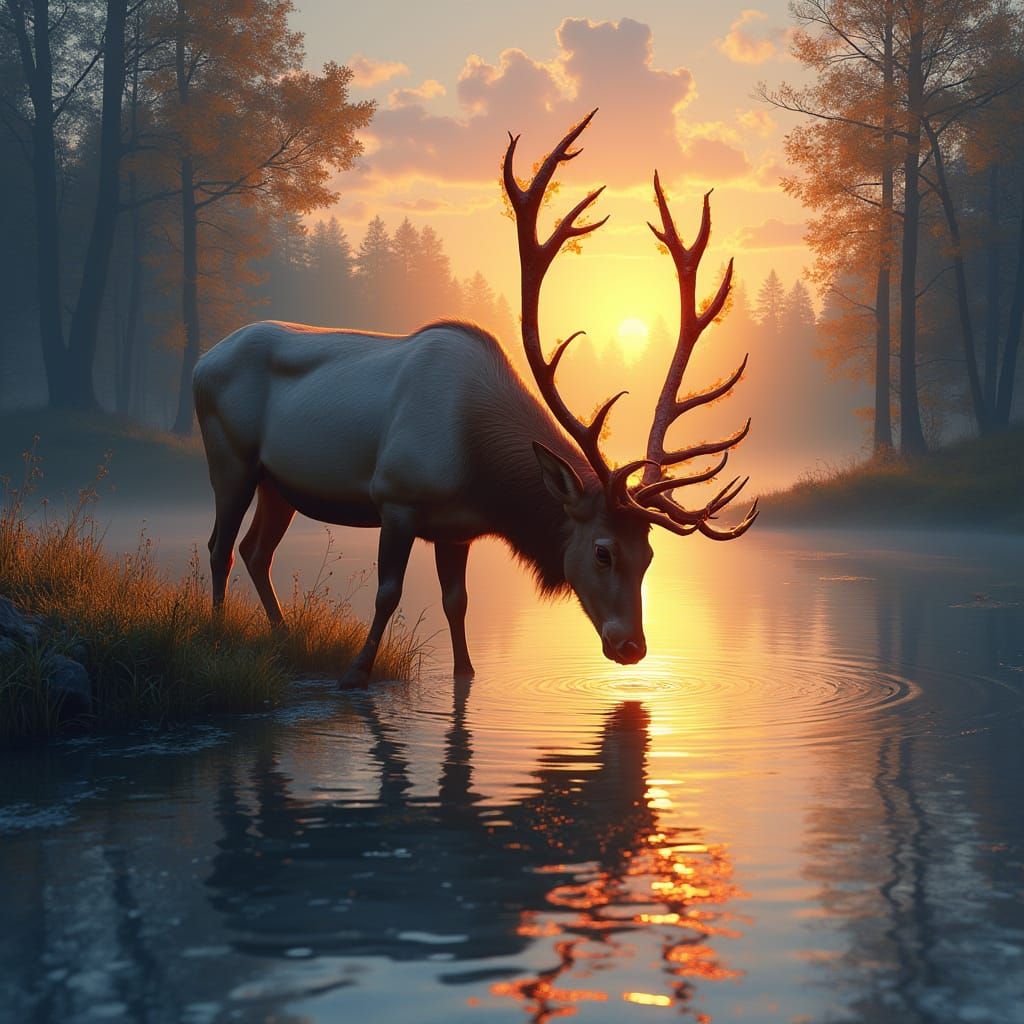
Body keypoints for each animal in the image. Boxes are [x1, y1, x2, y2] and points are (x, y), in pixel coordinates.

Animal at [193, 110, 757, 689]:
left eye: (648, 555)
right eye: (603, 552)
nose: (632, 647)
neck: (478, 465)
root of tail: (201, 361)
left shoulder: (456, 528)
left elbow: (456, 602)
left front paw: (465, 672)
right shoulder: (395, 497)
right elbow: (388, 593)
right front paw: (355, 671)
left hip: (277, 483)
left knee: (256, 552)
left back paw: (283, 636)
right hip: (229, 459)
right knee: (220, 548)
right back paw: (216, 633)